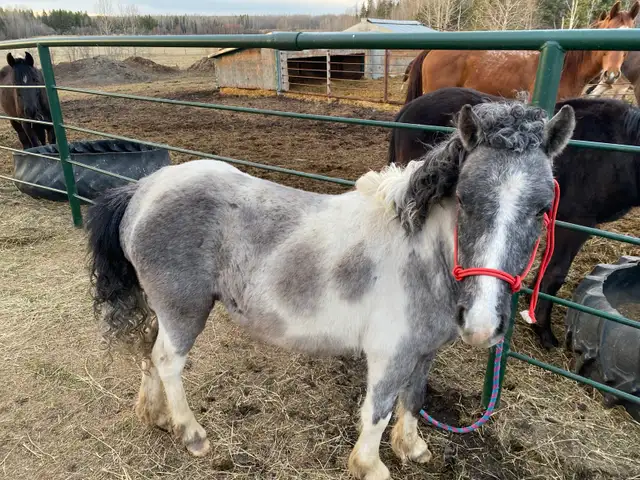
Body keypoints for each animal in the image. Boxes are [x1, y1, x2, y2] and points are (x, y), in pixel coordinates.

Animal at [86, 101, 575, 479]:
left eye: (542, 208)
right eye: (466, 200)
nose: (482, 324)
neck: (419, 252)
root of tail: (141, 189)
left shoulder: (423, 350)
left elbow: (413, 398)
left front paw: (413, 448)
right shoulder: (389, 352)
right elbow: (378, 409)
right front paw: (371, 466)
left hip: (163, 309)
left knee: (150, 353)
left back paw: (155, 416)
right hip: (184, 309)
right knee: (168, 361)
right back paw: (191, 434)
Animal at [388, 87, 640, 350]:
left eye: (543, 209)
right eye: (461, 199)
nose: (482, 325)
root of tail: (408, 108)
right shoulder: (577, 224)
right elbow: (555, 273)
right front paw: (544, 331)